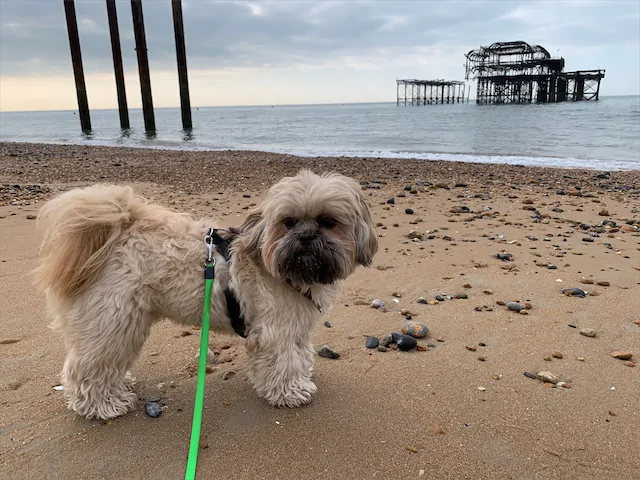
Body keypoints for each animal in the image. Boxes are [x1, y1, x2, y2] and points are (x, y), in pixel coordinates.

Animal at [32, 169, 378, 420]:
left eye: (328, 222)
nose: (305, 237)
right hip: (113, 323)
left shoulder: (297, 328)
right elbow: (282, 363)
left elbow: (299, 355)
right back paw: (101, 405)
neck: (283, 270)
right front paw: (290, 392)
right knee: (86, 369)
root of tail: (115, 233)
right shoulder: (274, 332)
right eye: (288, 222)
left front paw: (302, 376)